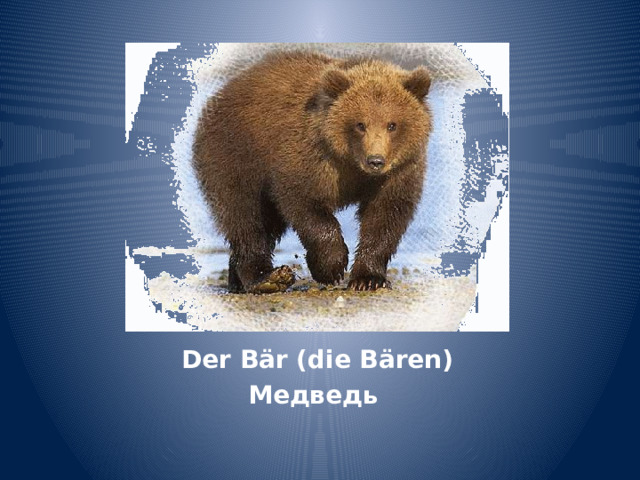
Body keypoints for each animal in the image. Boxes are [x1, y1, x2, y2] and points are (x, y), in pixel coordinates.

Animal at [193, 50, 432, 293]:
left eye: (392, 125)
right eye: (360, 124)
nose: (375, 161)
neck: (350, 161)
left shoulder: (399, 170)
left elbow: (385, 214)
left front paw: (368, 278)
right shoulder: (310, 154)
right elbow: (305, 202)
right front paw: (331, 268)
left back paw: (238, 281)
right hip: (235, 154)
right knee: (246, 217)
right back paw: (265, 277)